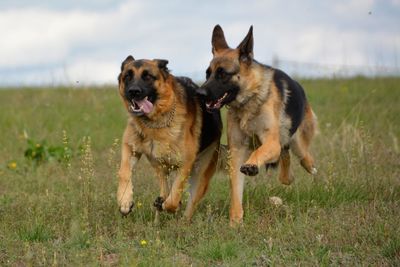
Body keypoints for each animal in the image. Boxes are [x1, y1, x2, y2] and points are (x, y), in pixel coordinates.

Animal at [198, 26, 318, 225]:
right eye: (208, 73)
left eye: (223, 74)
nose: (199, 93)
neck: (249, 100)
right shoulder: (237, 152)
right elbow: (236, 190)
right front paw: (235, 222)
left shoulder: (270, 142)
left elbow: (259, 152)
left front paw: (252, 165)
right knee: (286, 166)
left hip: (299, 144)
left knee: (303, 157)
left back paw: (312, 169)